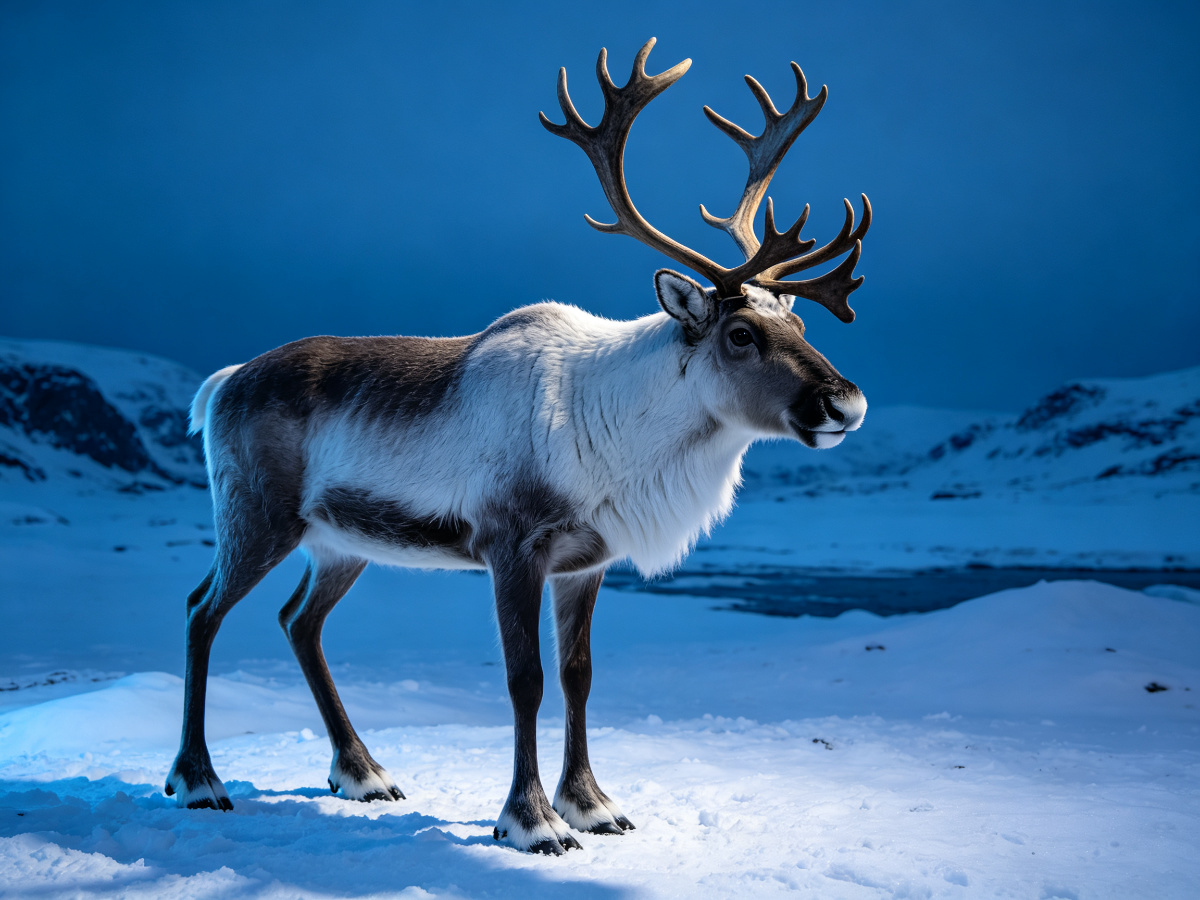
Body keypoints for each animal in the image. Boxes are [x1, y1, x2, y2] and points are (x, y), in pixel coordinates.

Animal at [165, 38, 870, 855]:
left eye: (802, 326)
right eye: (741, 333)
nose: (846, 403)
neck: (620, 430)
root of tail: (221, 384)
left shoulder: (586, 561)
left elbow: (578, 675)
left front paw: (593, 805)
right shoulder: (511, 545)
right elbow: (524, 678)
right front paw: (532, 820)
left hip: (340, 542)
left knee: (297, 622)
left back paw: (363, 773)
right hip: (257, 516)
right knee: (200, 609)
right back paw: (199, 780)